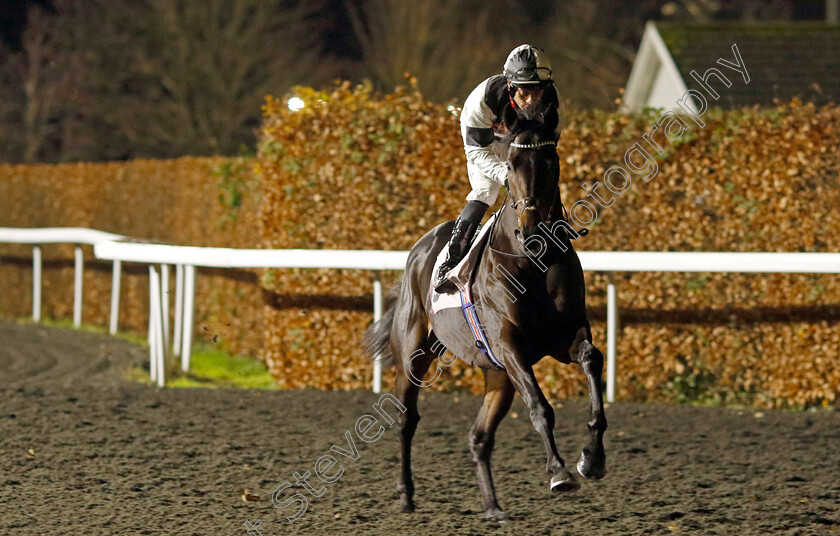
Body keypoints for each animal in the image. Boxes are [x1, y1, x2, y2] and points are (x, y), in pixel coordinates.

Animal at [364, 107, 608, 520]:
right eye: (510, 165)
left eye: (552, 161)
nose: (532, 229)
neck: (533, 262)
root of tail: (419, 249)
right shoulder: (510, 345)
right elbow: (540, 407)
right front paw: (559, 472)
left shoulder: (565, 336)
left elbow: (592, 358)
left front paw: (591, 459)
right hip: (414, 355)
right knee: (406, 420)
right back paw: (406, 493)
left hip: (498, 374)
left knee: (478, 437)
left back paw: (493, 507)